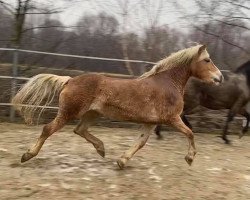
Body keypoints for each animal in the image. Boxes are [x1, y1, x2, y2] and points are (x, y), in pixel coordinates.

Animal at [11, 45, 223, 169]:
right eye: (207, 60)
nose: (219, 78)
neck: (167, 83)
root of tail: (70, 80)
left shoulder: (150, 122)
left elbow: (141, 142)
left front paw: (122, 161)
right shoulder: (172, 118)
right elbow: (190, 133)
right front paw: (190, 158)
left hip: (92, 114)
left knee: (80, 129)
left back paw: (101, 149)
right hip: (68, 113)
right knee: (48, 129)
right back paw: (27, 155)